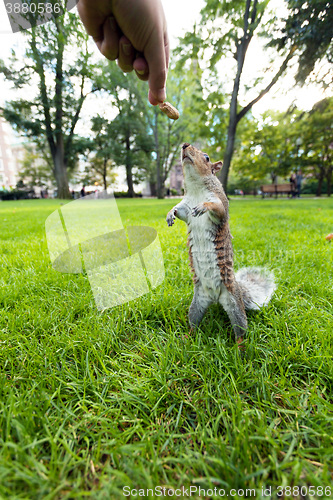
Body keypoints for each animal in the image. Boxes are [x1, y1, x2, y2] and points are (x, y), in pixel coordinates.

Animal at [166, 145, 274, 346]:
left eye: (207, 157)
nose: (185, 145)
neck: (196, 188)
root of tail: (215, 298)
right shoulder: (185, 207)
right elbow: (179, 210)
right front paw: (170, 213)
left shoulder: (220, 202)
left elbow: (218, 209)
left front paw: (204, 206)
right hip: (197, 304)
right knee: (194, 323)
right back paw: (187, 337)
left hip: (234, 305)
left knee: (240, 330)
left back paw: (240, 348)